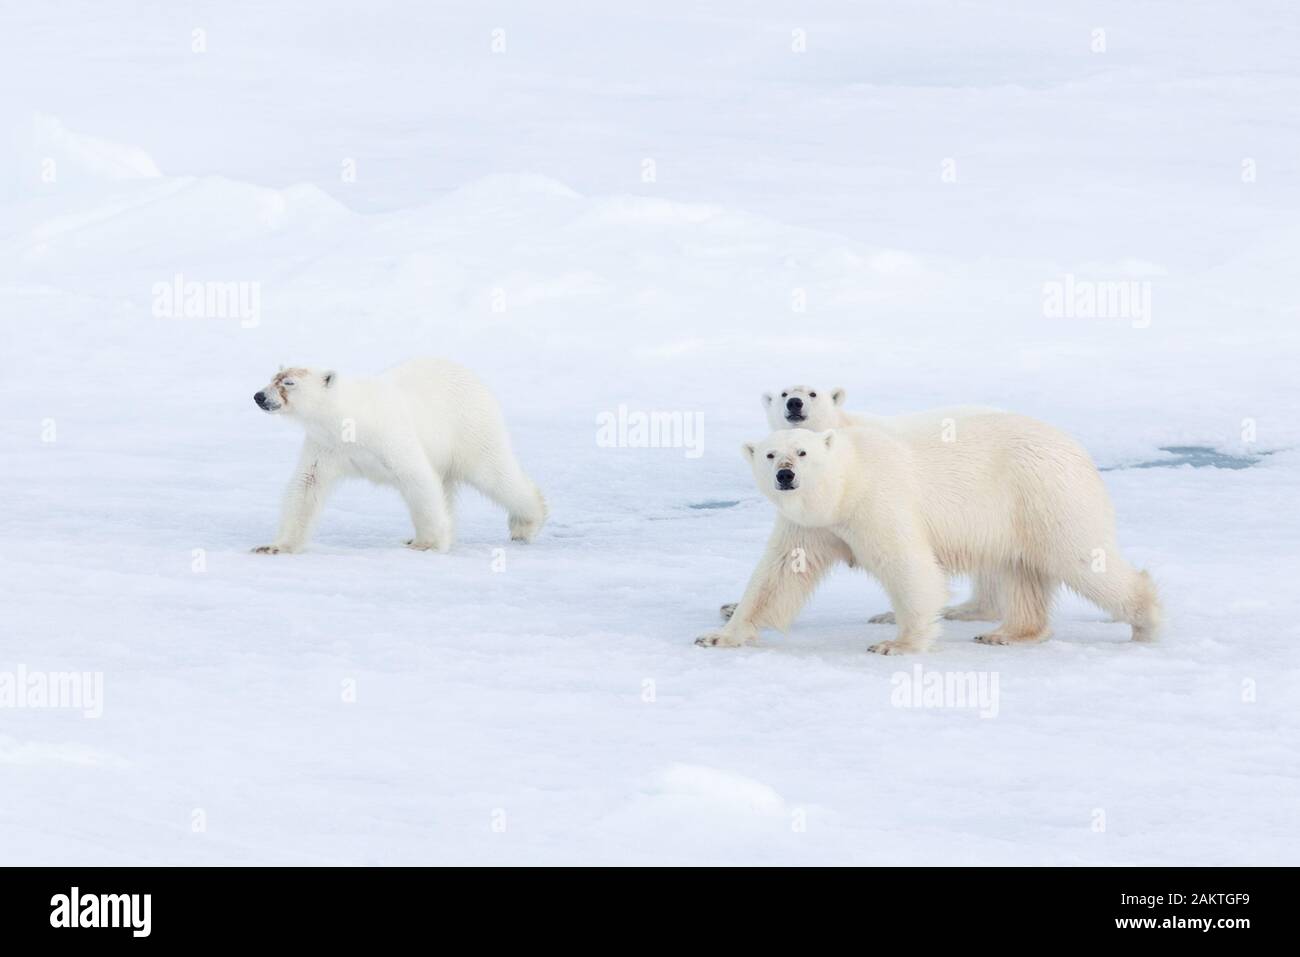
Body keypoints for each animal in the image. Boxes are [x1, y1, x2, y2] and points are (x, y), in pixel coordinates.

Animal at [251, 357, 547, 554]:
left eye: (289, 382)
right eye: (272, 377)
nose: (259, 396)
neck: (349, 417)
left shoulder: (388, 435)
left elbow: (416, 477)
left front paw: (427, 544)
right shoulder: (325, 445)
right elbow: (307, 485)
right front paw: (274, 546)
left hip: (471, 429)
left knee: (495, 474)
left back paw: (526, 523)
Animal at [695, 416, 1161, 654]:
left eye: (803, 453)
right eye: (770, 454)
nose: (785, 475)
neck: (846, 485)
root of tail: (1079, 450)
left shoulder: (876, 502)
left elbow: (908, 566)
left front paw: (897, 644)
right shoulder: (812, 525)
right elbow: (776, 576)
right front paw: (719, 634)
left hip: (1045, 494)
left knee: (1080, 558)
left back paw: (1147, 623)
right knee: (1020, 570)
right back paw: (1007, 633)